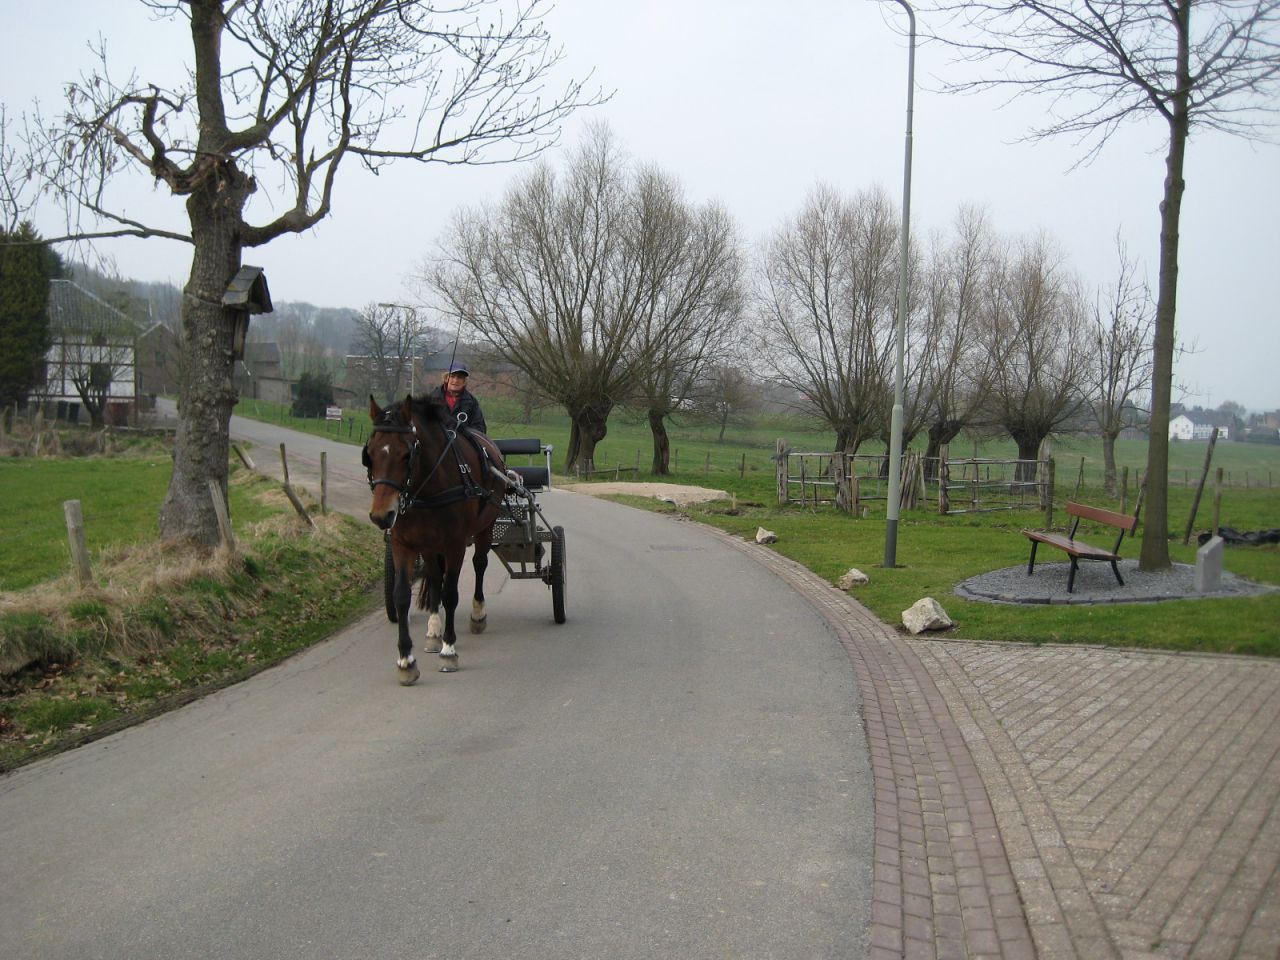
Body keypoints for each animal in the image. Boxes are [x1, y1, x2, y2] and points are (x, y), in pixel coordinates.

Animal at [363, 394, 508, 685]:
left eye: (406, 454)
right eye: (369, 454)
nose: (382, 515)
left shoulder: (455, 545)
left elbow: (451, 594)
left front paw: (449, 650)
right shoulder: (403, 544)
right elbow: (402, 595)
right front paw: (406, 660)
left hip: (485, 528)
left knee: (479, 565)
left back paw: (477, 614)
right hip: (429, 545)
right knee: (432, 577)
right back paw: (433, 630)